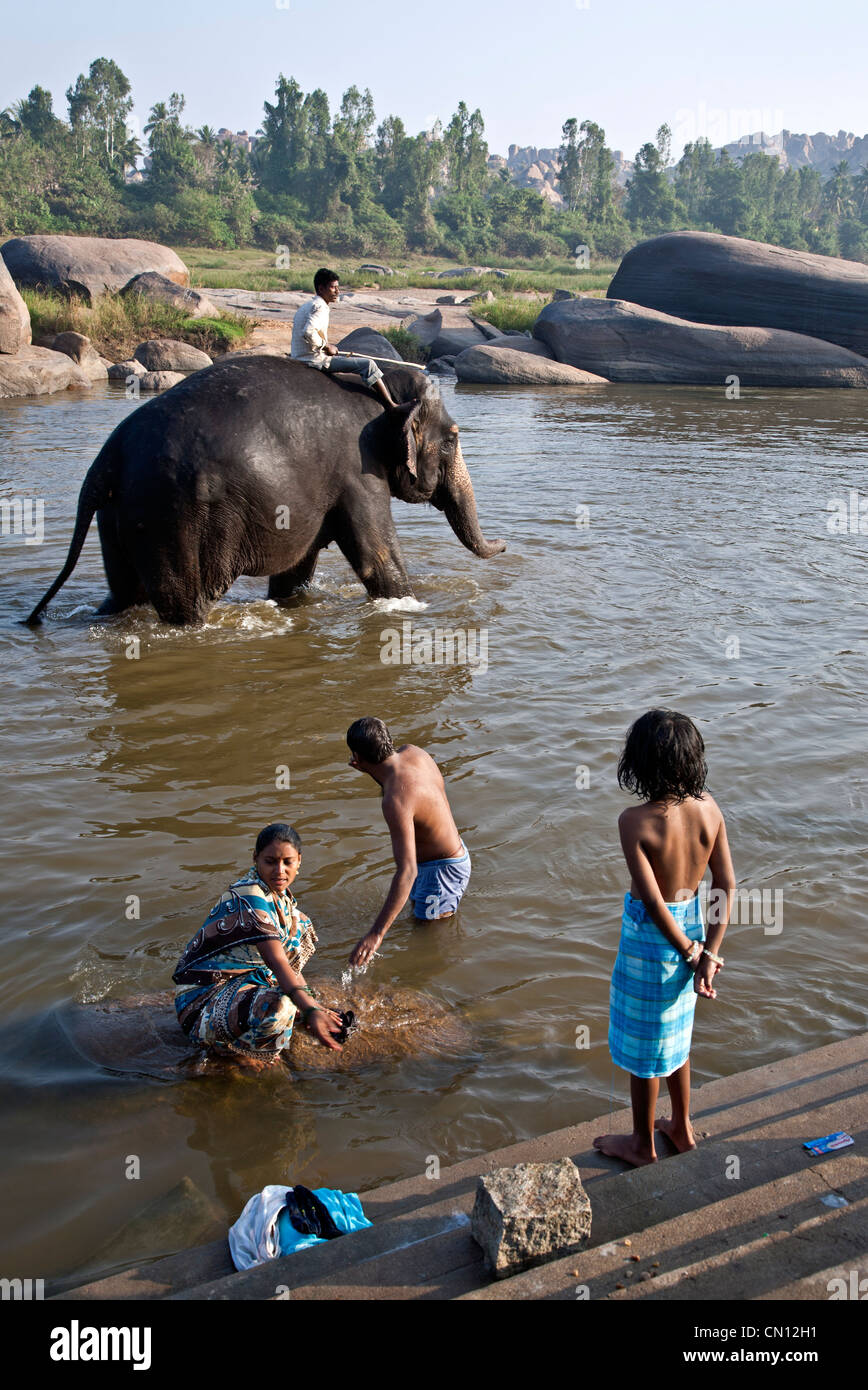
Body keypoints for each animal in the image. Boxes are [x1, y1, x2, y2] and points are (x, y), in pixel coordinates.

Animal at [24, 355, 505, 627]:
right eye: (453, 439)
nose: (504, 544)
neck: (389, 385)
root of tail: (110, 454)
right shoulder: (358, 471)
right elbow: (377, 558)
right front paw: (411, 607)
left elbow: (296, 570)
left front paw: (290, 604)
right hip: (170, 514)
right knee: (182, 603)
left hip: (119, 512)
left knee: (123, 594)